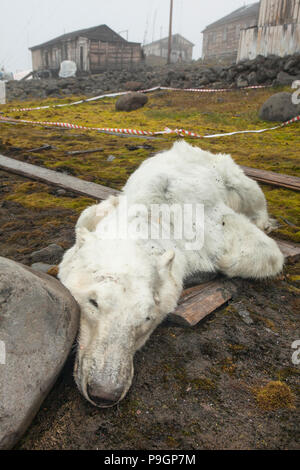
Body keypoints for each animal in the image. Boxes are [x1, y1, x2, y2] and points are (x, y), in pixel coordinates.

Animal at [58, 140, 284, 408]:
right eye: (93, 302)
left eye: (147, 317)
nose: (104, 392)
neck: (152, 213)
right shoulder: (113, 208)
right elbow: (87, 216)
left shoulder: (205, 229)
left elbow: (264, 253)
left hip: (231, 174)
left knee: (252, 193)